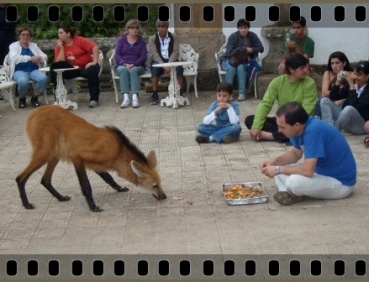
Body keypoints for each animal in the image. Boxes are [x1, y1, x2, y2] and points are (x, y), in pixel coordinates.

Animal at [15, 106, 166, 212]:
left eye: (160, 183)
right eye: (155, 186)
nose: (164, 196)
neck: (119, 151)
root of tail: (35, 111)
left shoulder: (97, 165)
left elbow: (109, 178)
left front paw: (119, 188)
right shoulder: (78, 158)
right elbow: (86, 186)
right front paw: (93, 207)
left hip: (55, 155)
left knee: (45, 180)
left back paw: (61, 198)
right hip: (45, 154)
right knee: (20, 178)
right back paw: (26, 204)